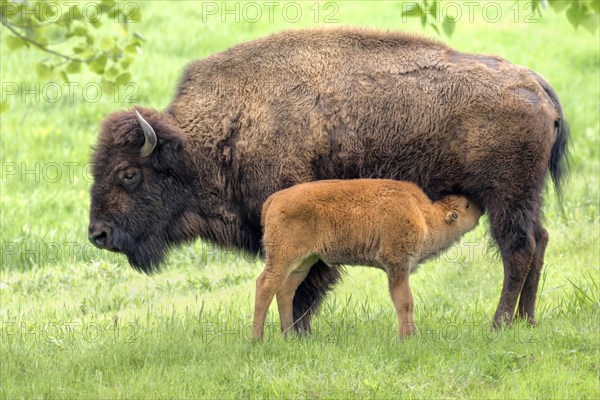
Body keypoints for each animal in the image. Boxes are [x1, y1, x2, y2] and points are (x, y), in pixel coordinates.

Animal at [253, 180, 482, 340]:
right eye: (466, 205)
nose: (480, 205)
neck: (423, 216)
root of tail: (274, 200)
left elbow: (407, 302)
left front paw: (412, 335)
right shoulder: (396, 265)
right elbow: (404, 301)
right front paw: (406, 338)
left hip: (304, 262)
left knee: (285, 291)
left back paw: (289, 336)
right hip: (282, 258)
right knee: (265, 285)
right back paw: (257, 339)